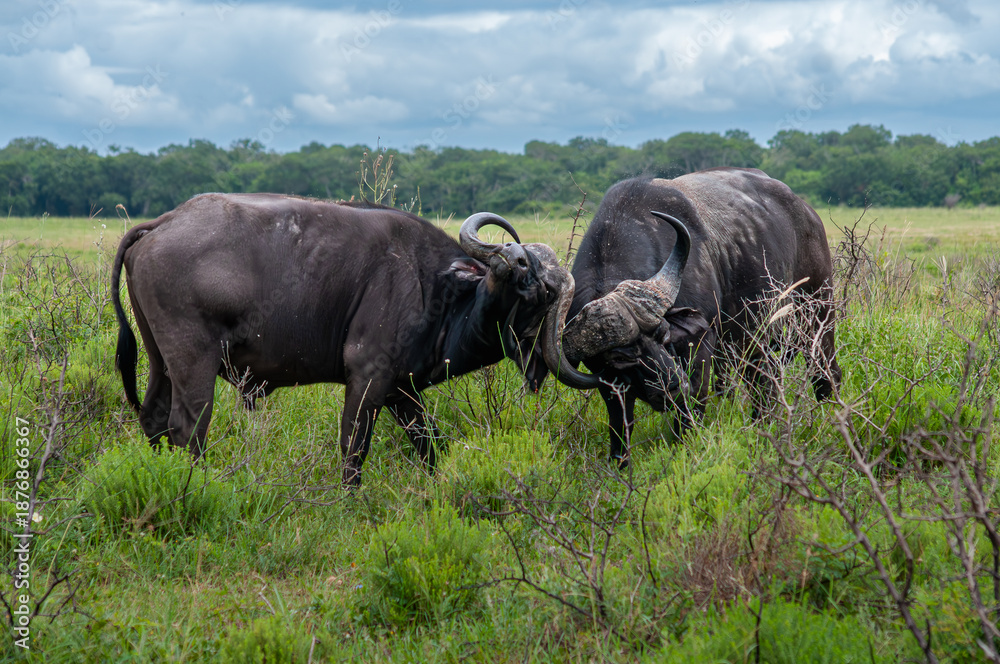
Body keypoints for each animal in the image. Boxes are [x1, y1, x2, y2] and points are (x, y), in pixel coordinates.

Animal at [112, 193, 579, 485]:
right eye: (520, 269)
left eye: (542, 289)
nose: (512, 258)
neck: (434, 288)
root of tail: (163, 222)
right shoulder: (367, 379)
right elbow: (354, 448)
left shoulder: (401, 390)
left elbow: (428, 442)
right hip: (194, 361)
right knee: (188, 427)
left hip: (160, 359)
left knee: (154, 417)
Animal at [533, 167, 842, 464]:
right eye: (620, 357)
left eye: (662, 334)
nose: (673, 386)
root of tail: (805, 211)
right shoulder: (612, 384)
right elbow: (619, 427)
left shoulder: (700, 346)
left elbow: (692, 412)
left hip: (817, 307)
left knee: (820, 371)